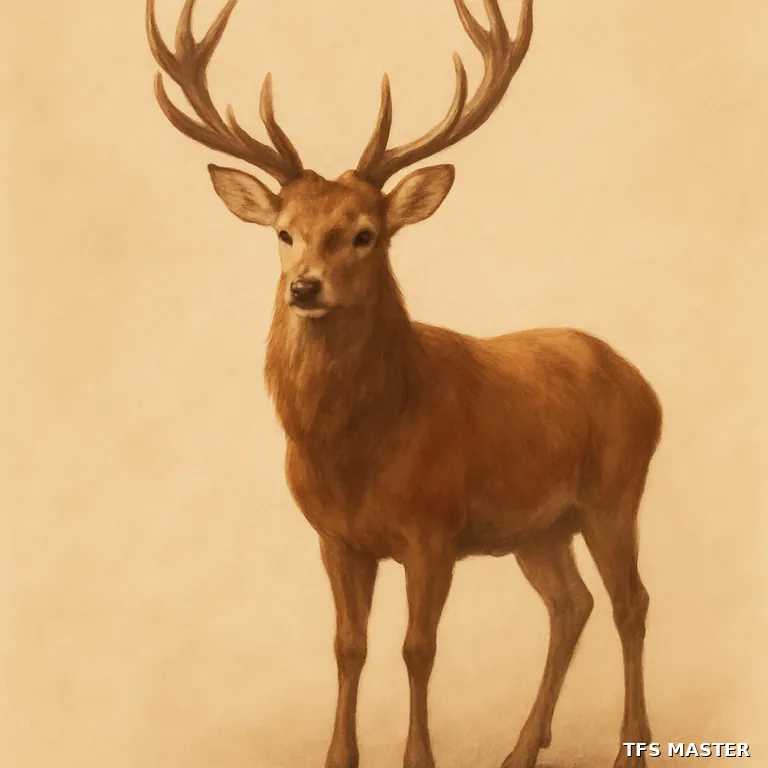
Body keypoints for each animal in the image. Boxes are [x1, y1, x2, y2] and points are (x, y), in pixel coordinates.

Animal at [146, 1, 663, 766]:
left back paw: (632, 743)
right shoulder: (335, 537)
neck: (359, 449)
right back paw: (521, 748)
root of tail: (644, 385)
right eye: (283, 231)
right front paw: (339, 755)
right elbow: (347, 646)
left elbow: (418, 649)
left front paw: (419, 756)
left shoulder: (434, 528)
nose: (305, 288)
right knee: (572, 605)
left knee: (631, 602)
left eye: (365, 233)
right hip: (541, 527)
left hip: (615, 490)